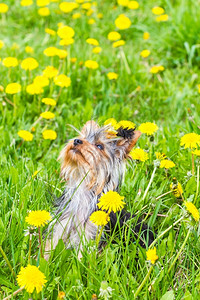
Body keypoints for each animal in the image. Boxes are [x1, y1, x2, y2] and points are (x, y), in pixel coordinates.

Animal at [45, 119, 155, 258]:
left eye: (99, 146)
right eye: (83, 137)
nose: (76, 141)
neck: (85, 187)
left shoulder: (91, 232)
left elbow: (83, 254)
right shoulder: (62, 223)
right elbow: (51, 244)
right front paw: (42, 260)